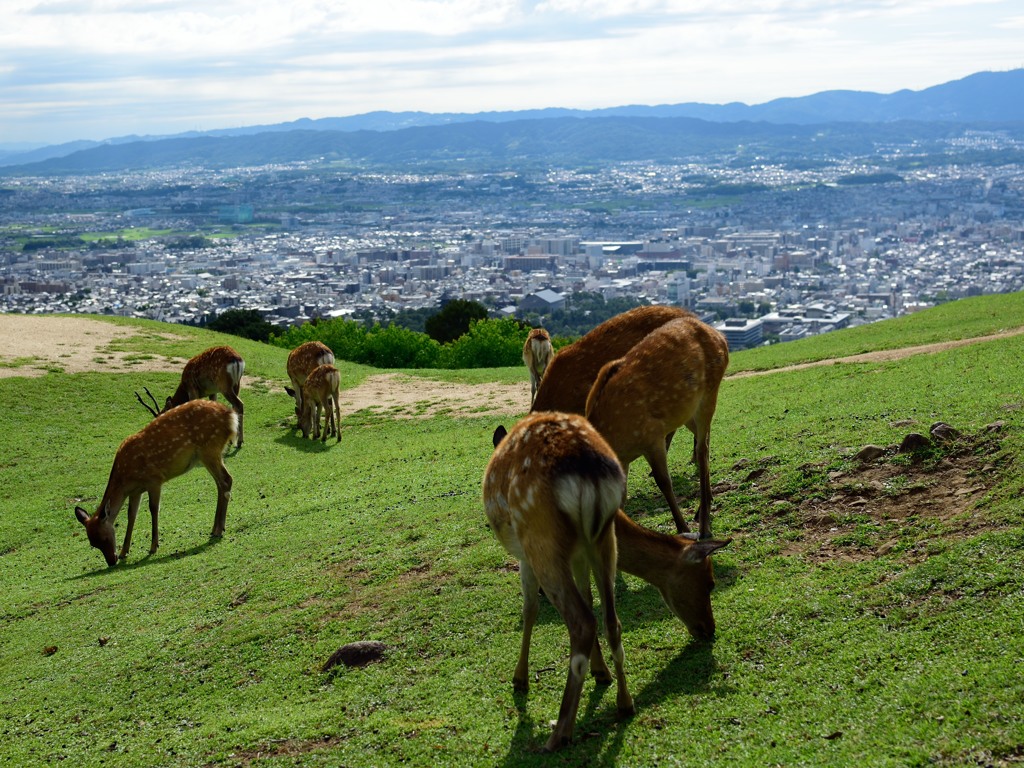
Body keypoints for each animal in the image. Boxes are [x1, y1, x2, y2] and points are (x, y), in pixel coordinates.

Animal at [74, 399, 237, 569]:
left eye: (104, 538)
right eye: (93, 543)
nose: (112, 561)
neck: (124, 478)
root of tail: (230, 415)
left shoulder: (154, 479)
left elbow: (153, 509)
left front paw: (153, 547)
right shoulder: (135, 491)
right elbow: (131, 515)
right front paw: (124, 551)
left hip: (210, 449)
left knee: (226, 480)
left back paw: (218, 530)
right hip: (210, 454)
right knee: (220, 483)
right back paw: (216, 528)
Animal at [481, 411, 630, 753]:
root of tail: (587, 470)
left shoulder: (525, 556)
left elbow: (529, 610)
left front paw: (519, 679)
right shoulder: (578, 554)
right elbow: (588, 597)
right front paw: (601, 672)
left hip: (540, 538)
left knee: (581, 621)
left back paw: (559, 732)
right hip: (604, 536)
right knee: (608, 618)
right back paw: (624, 702)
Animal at [585, 313, 729, 540]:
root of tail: (720, 336)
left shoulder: (652, 436)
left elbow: (663, 481)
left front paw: (683, 528)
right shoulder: (624, 460)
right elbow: (622, 497)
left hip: (709, 393)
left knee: (702, 449)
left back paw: (704, 525)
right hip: (686, 411)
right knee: (703, 440)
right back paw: (704, 507)